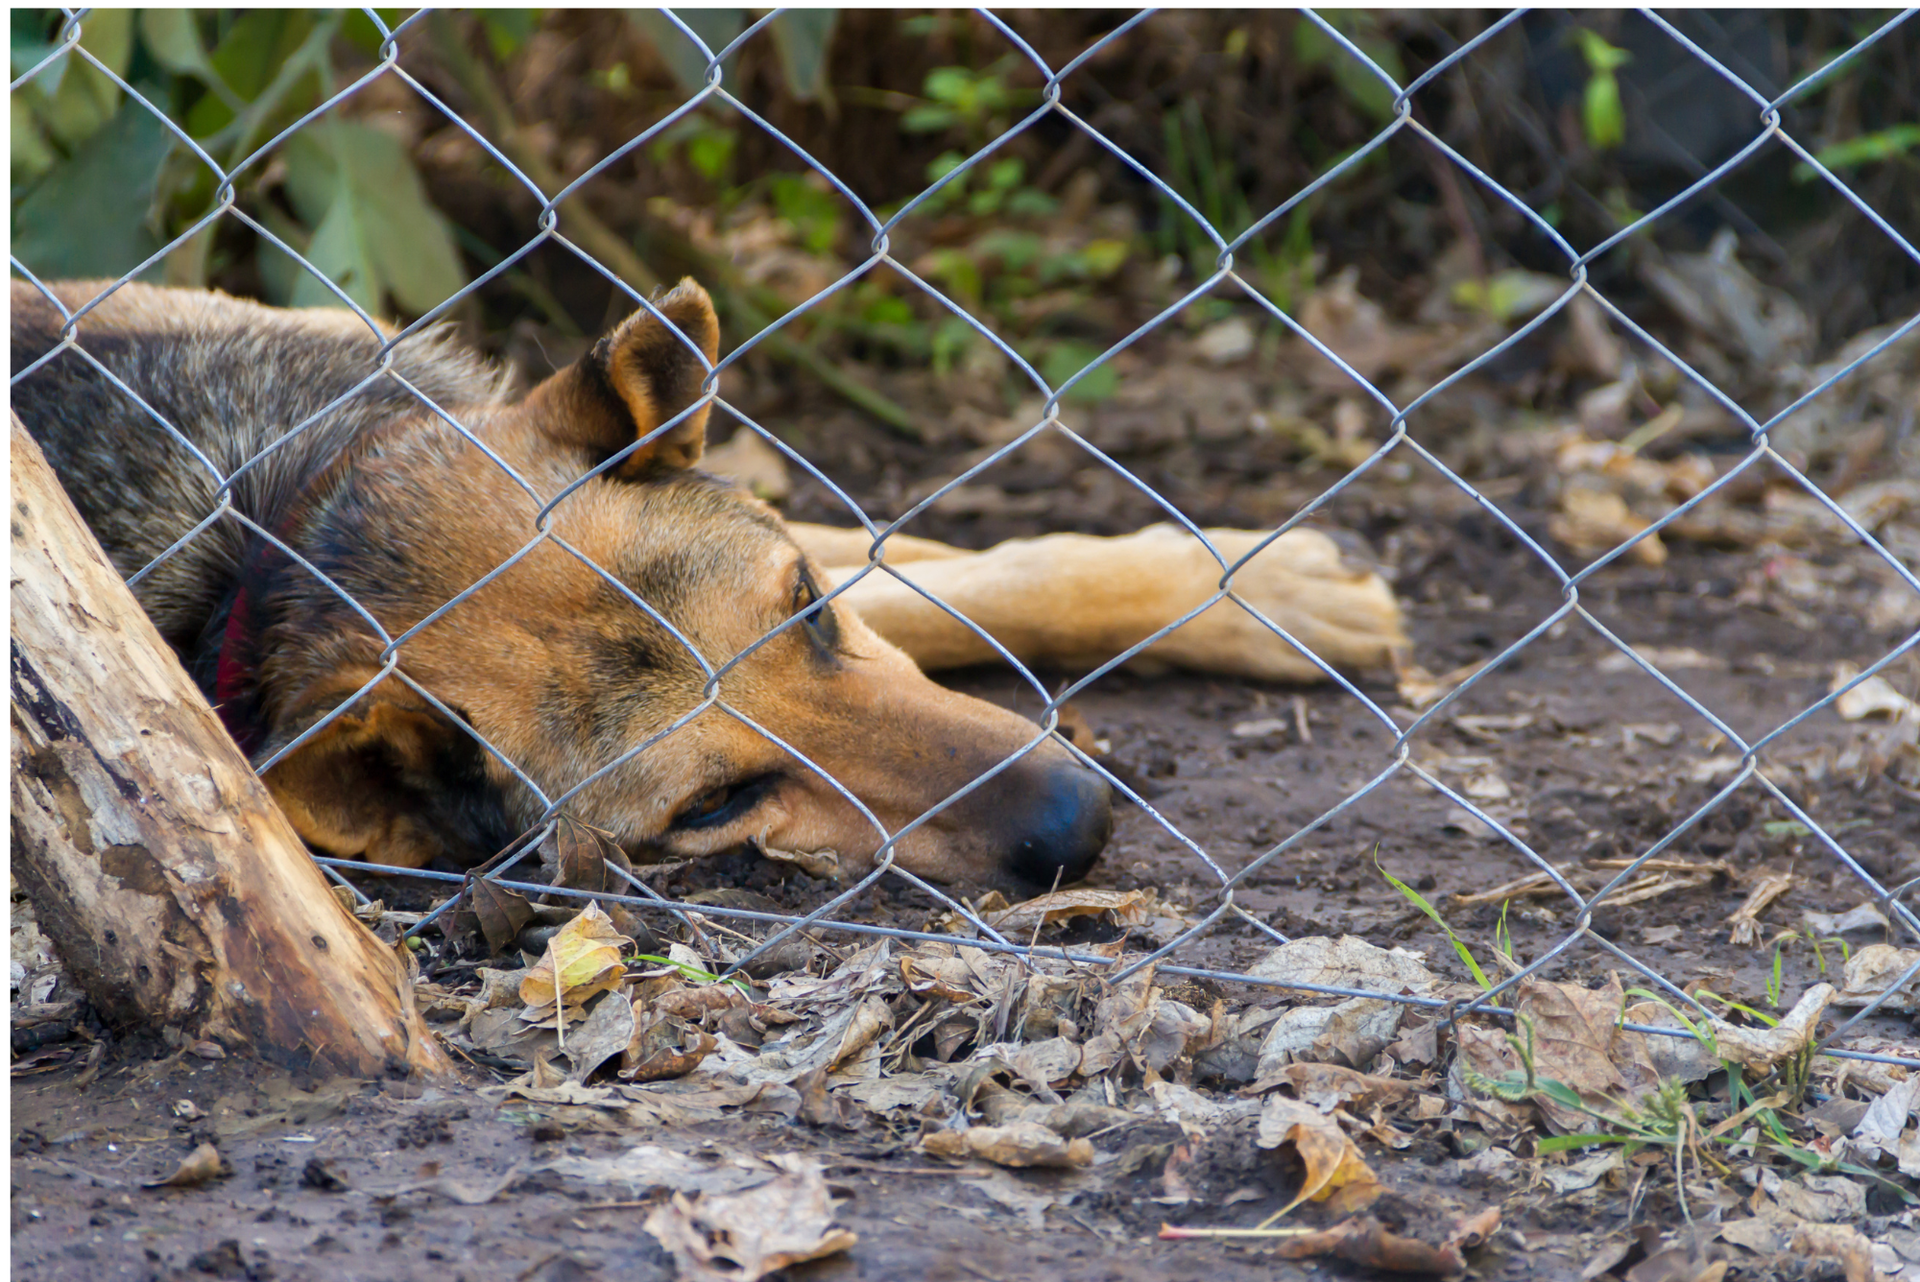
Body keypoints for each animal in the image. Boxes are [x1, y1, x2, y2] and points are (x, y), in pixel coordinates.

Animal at [11, 278, 1413, 890]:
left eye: (807, 610)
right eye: (716, 803)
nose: (1083, 827)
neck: (280, 526)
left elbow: (977, 569)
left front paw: (1272, 586)